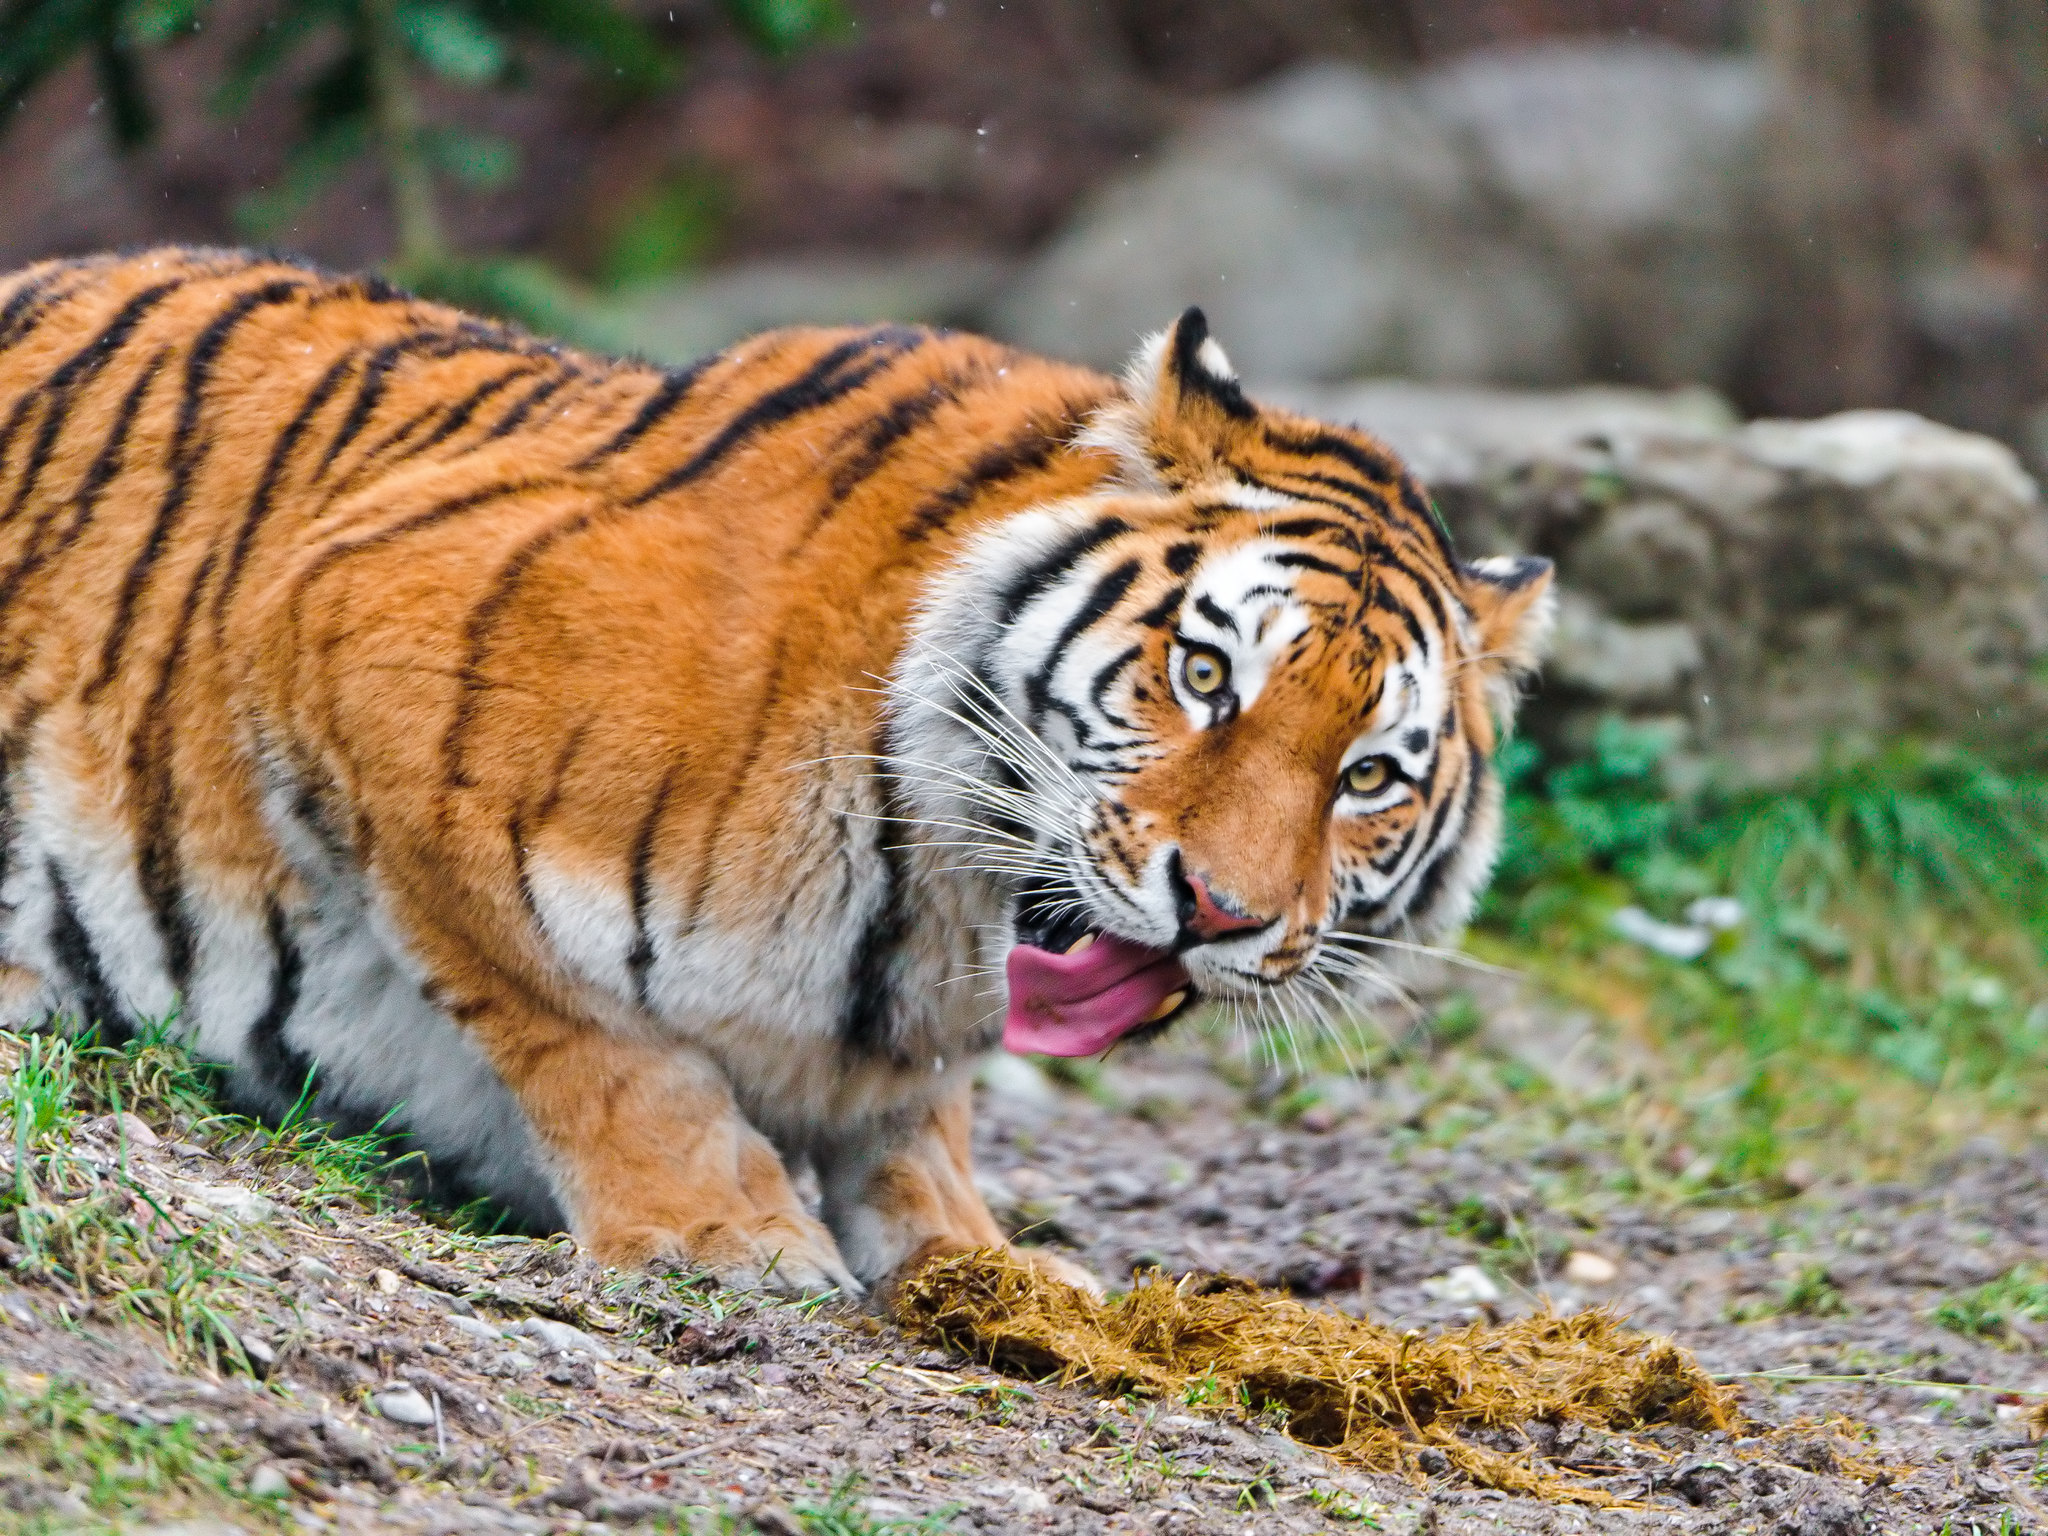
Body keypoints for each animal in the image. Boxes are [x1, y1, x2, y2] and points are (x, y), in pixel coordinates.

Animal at [0, 249, 1548, 1302]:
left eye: (1365, 776)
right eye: (1208, 675)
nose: (1217, 911)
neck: (925, 899)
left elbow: (921, 1129)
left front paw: (984, 1257)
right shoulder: (345, 634)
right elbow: (593, 1031)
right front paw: (720, 1233)